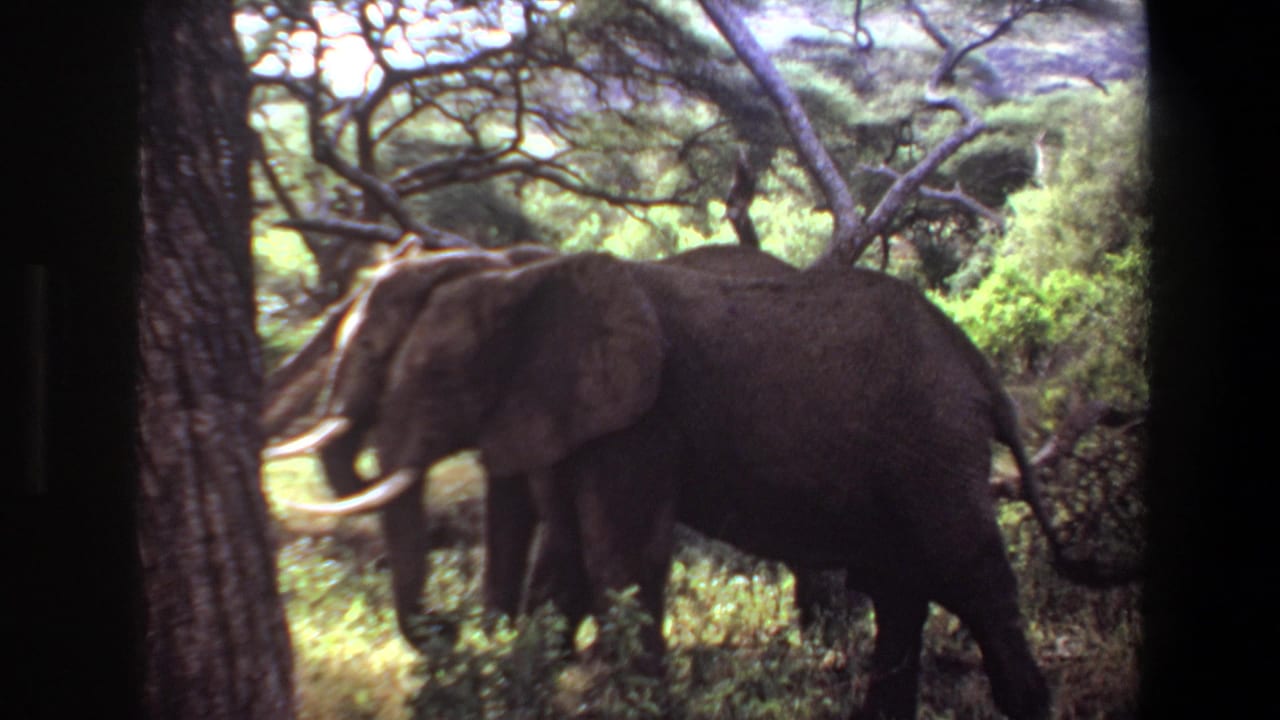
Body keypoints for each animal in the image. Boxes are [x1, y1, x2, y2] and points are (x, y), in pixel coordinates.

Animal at [269, 247, 1125, 719]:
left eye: (440, 376)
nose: (450, 627)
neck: (531, 273)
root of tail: (983, 374)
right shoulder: (571, 411)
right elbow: (568, 558)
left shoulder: (641, 417)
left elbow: (618, 561)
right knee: (902, 590)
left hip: (933, 449)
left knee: (972, 579)